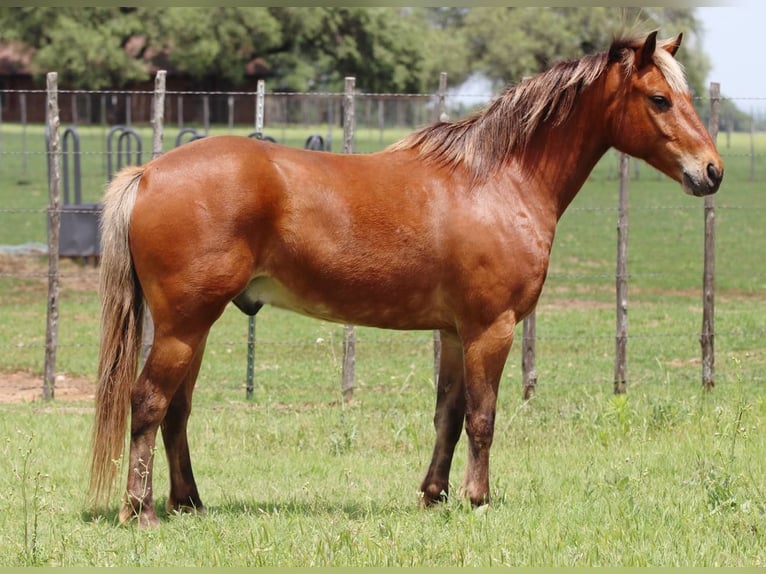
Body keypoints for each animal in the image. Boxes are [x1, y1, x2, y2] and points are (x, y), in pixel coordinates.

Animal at [89, 32, 722, 527]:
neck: (497, 181)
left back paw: (189, 503)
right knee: (148, 403)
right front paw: (478, 500)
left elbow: (448, 416)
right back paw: (140, 511)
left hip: (193, 327)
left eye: (686, 96)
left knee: (176, 410)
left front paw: (433, 495)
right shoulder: (490, 329)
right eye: (660, 99)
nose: (712, 171)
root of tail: (149, 173)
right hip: (183, 325)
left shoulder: (454, 333)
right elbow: (483, 418)